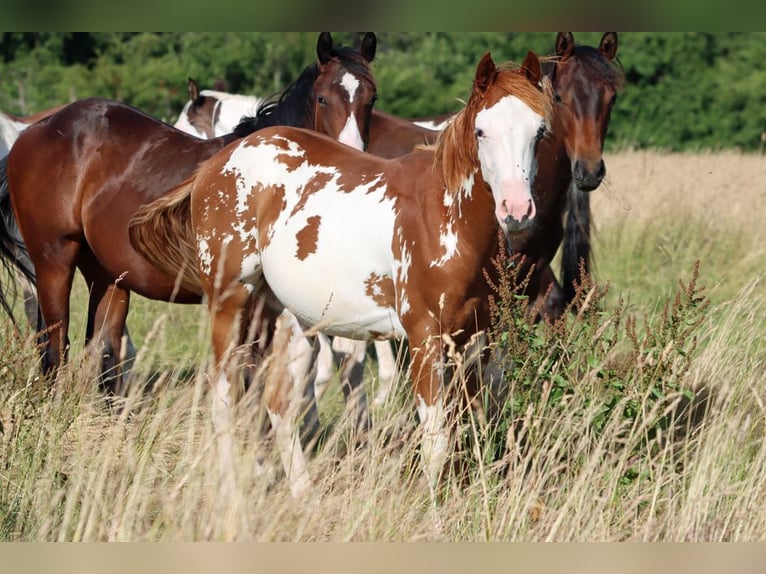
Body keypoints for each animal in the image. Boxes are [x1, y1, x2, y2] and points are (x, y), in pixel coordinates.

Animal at [0, 32, 378, 396]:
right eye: (323, 99)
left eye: (370, 99)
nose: (352, 158)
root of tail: (37, 130)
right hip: (54, 261)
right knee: (54, 349)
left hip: (107, 275)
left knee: (105, 351)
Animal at [129, 50, 554, 497]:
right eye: (481, 130)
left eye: (540, 131)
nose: (516, 209)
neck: (445, 216)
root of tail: (217, 162)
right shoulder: (424, 339)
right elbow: (437, 438)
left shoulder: (474, 341)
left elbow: (470, 427)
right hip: (230, 305)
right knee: (226, 397)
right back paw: (232, 493)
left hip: (291, 321)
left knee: (280, 405)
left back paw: (303, 495)